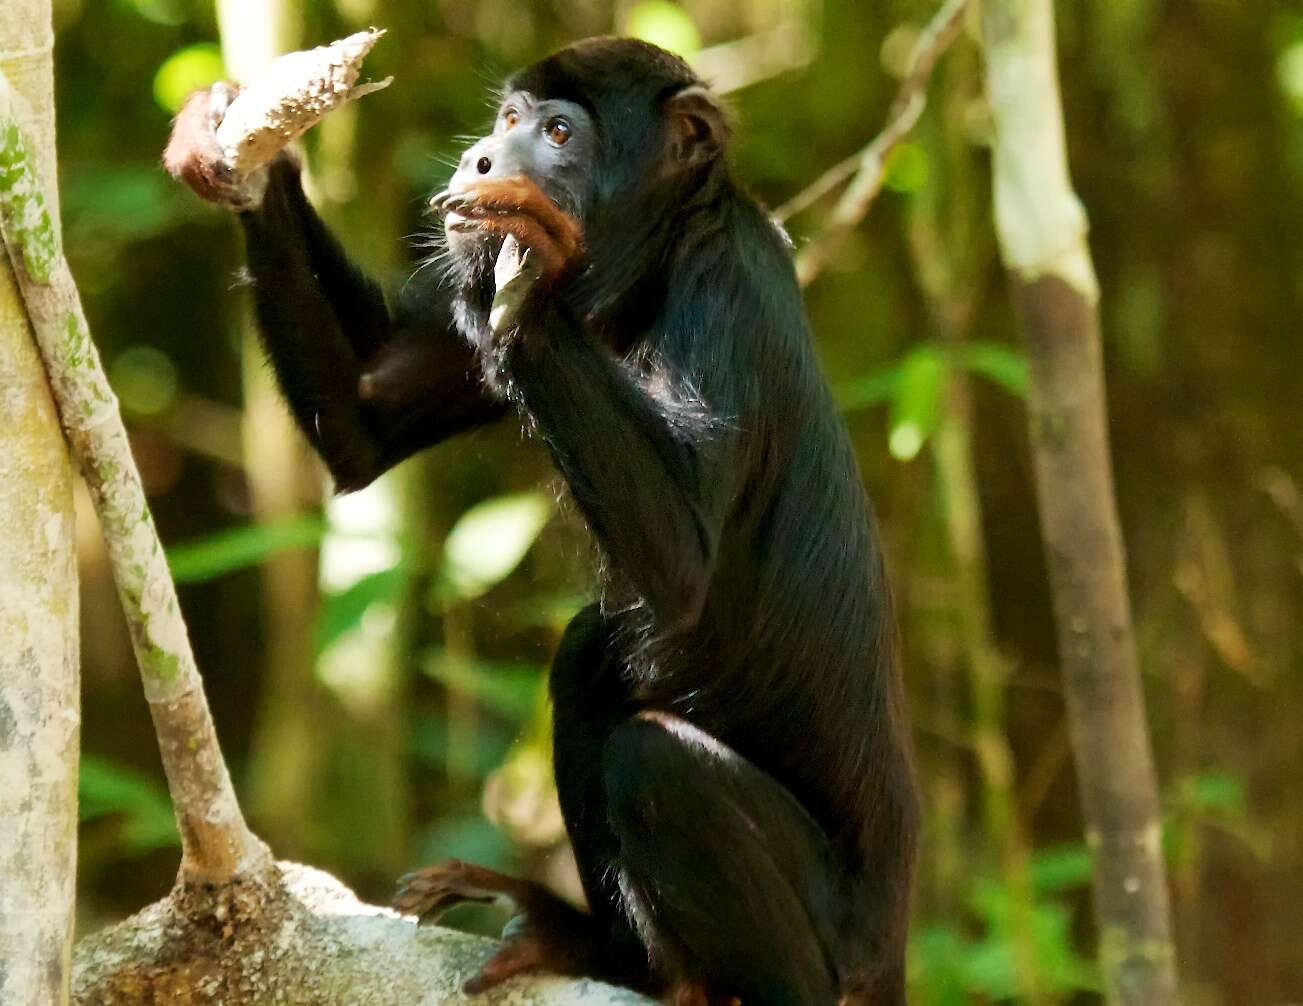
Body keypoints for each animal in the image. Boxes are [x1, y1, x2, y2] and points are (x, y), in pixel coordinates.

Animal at [165, 35, 917, 1006]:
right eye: (509, 119)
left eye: (558, 134)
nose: (486, 157)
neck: (653, 256)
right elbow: (366, 419)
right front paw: (234, 134)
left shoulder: (727, 283)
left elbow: (683, 562)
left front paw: (531, 265)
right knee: (590, 653)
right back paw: (600, 949)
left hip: (839, 944)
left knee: (654, 759)